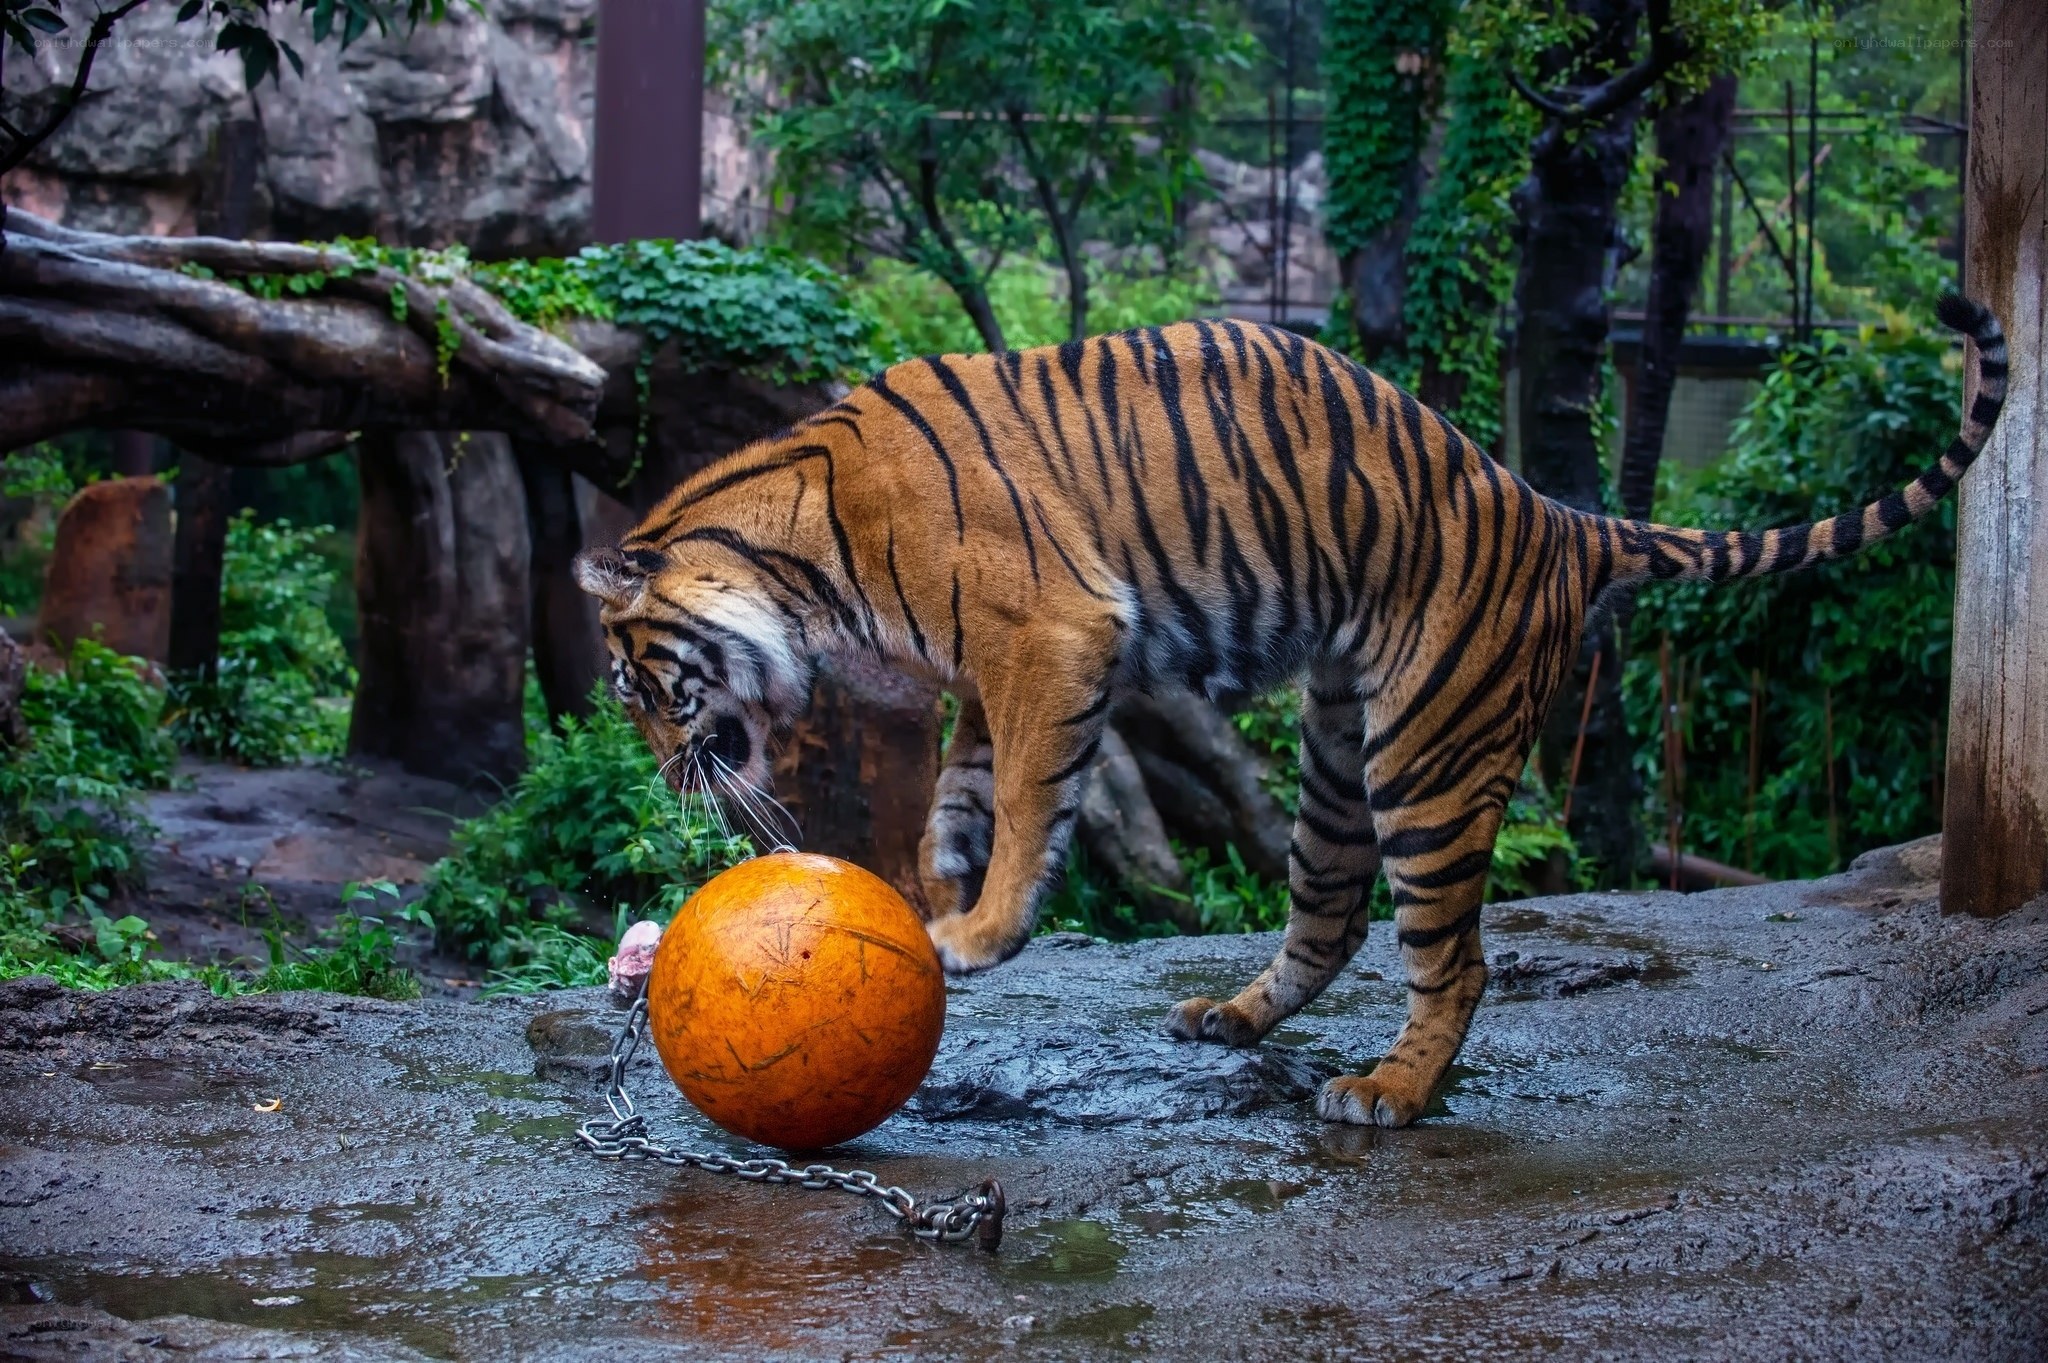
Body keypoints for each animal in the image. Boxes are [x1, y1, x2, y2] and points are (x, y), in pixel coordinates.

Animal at [575, 292, 2008, 1129]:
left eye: (642, 688)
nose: (664, 776)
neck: (800, 555)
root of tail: (1557, 514)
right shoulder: (996, 662)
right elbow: (964, 785)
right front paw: (938, 883)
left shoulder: (1050, 630)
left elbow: (1035, 791)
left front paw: (978, 932)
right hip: (1334, 750)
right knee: (1327, 913)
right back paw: (1231, 1019)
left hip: (1427, 757)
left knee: (1454, 957)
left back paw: (1386, 1091)